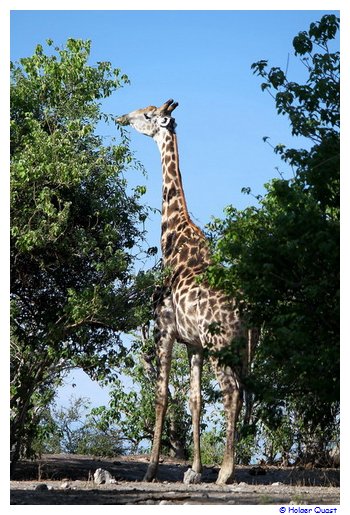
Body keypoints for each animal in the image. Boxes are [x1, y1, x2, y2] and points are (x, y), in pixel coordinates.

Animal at [117, 100, 254, 484]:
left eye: (147, 115)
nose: (122, 117)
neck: (173, 240)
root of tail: (249, 310)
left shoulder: (163, 329)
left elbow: (162, 394)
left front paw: (150, 470)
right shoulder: (193, 343)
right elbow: (194, 400)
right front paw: (194, 469)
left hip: (221, 346)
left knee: (232, 393)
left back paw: (226, 472)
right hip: (239, 351)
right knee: (245, 394)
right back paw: (225, 467)